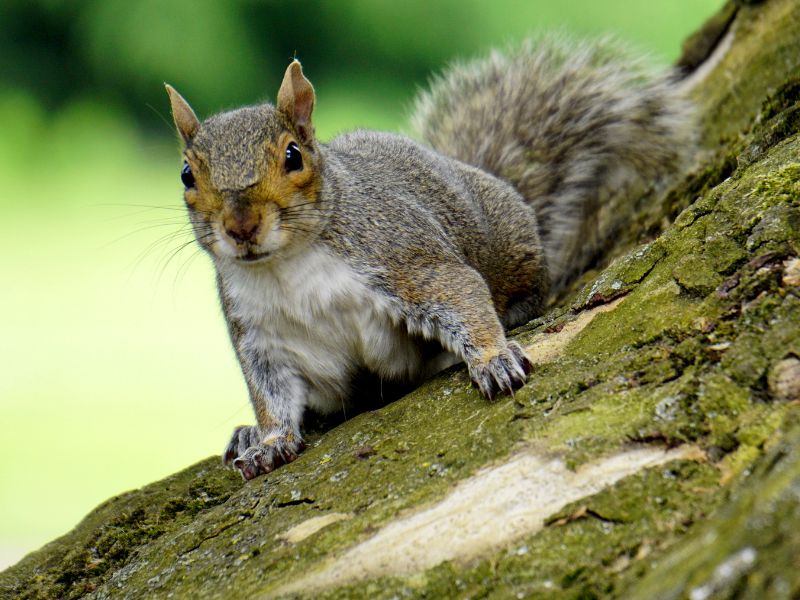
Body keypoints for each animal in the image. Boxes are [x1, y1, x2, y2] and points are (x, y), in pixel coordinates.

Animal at [165, 35, 694, 481]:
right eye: (187, 175)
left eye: (293, 156)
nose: (241, 227)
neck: (287, 267)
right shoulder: (262, 336)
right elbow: (271, 395)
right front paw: (270, 441)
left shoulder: (404, 256)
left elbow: (461, 294)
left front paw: (494, 359)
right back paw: (246, 434)